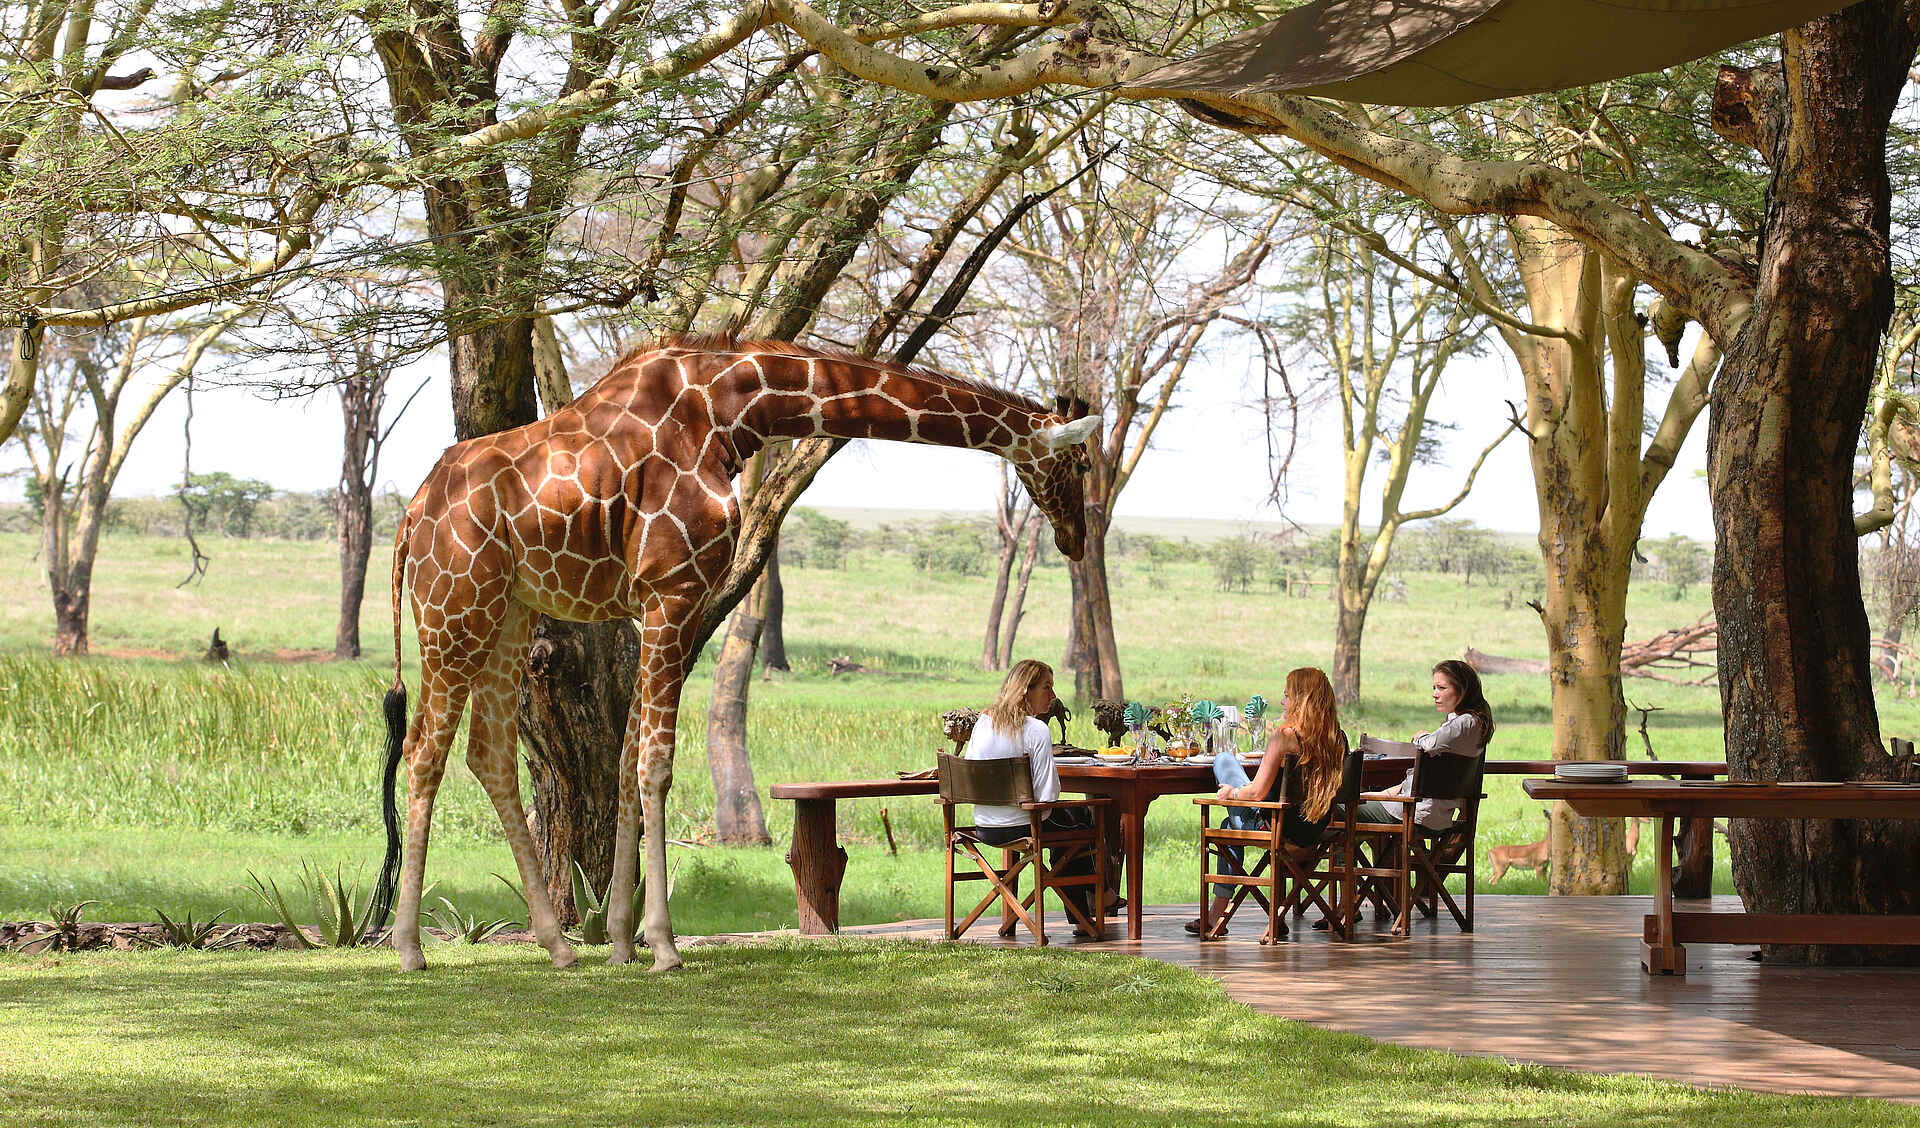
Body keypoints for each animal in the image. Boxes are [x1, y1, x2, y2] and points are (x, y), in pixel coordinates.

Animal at [371, 336, 1097, 972]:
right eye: (1082, 462)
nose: (1078, 537)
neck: (731, 408)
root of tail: (410, 516)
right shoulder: (673, 591)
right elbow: (656, 764)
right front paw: (663, 947)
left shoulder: (654, 604)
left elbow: (630, 756)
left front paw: (621, 940)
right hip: (454, 609)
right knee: (424, 751)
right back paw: (408, 949)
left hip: (510, 612)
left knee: (488, 753)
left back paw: (558, 947)